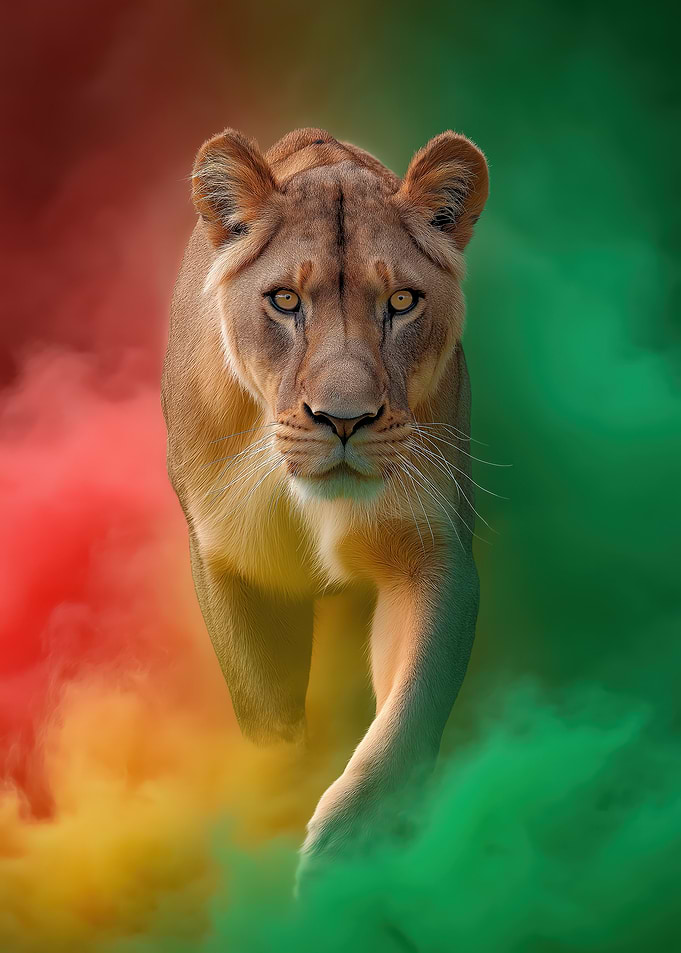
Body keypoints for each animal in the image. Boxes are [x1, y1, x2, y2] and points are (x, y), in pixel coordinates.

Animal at [161, 126, 489, 872]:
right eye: (285, 302)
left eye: (402, 302)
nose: (344, 419)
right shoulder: (233, 562)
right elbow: (269, 714)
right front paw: (280, 800)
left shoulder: (430, 550)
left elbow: (408, 712)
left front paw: (348, 850)